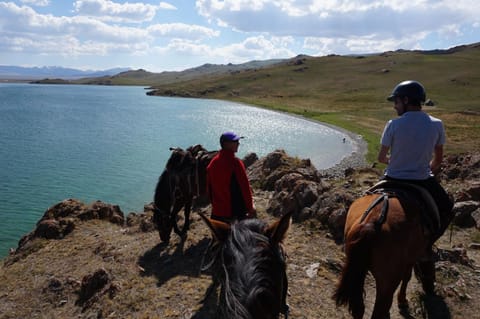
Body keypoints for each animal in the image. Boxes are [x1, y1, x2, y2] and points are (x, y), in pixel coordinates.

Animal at [334, 182, 438, 319]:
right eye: (432, 266)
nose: (431, 289)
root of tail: (372, 222)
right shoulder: (410, 259)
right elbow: (407, 277)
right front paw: (402, 301)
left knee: (359, 309)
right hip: (387, 283)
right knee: (379, 309)